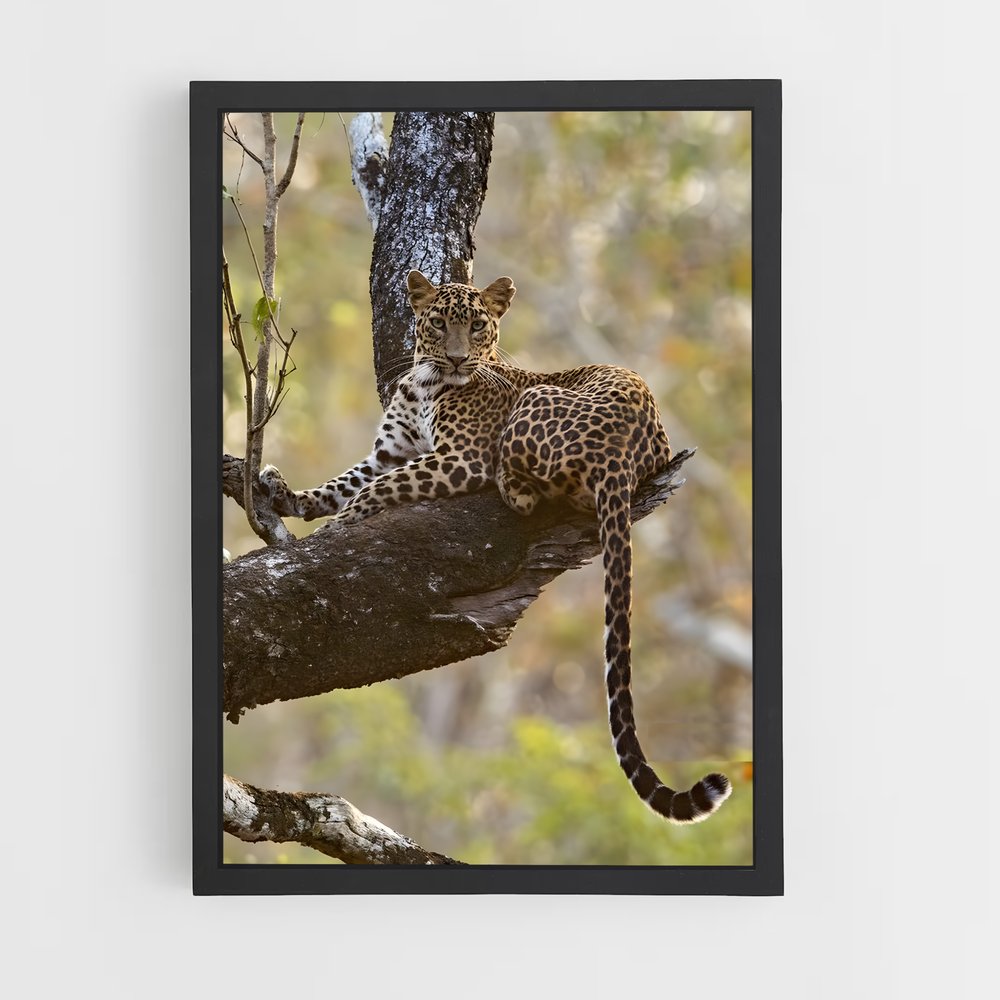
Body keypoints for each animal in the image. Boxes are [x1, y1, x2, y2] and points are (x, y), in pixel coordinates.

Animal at [261, 269, 732, 824]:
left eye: (478, 325)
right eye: (438, 324)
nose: (458, 359)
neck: (424, 383)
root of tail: (624, 455)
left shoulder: (459, 459)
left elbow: (376, 490)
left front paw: (335, 532)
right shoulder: (389, 452)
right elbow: (344, 483)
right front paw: (288, 495)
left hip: (533, 406)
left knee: (528, 494)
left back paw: (512, 484)